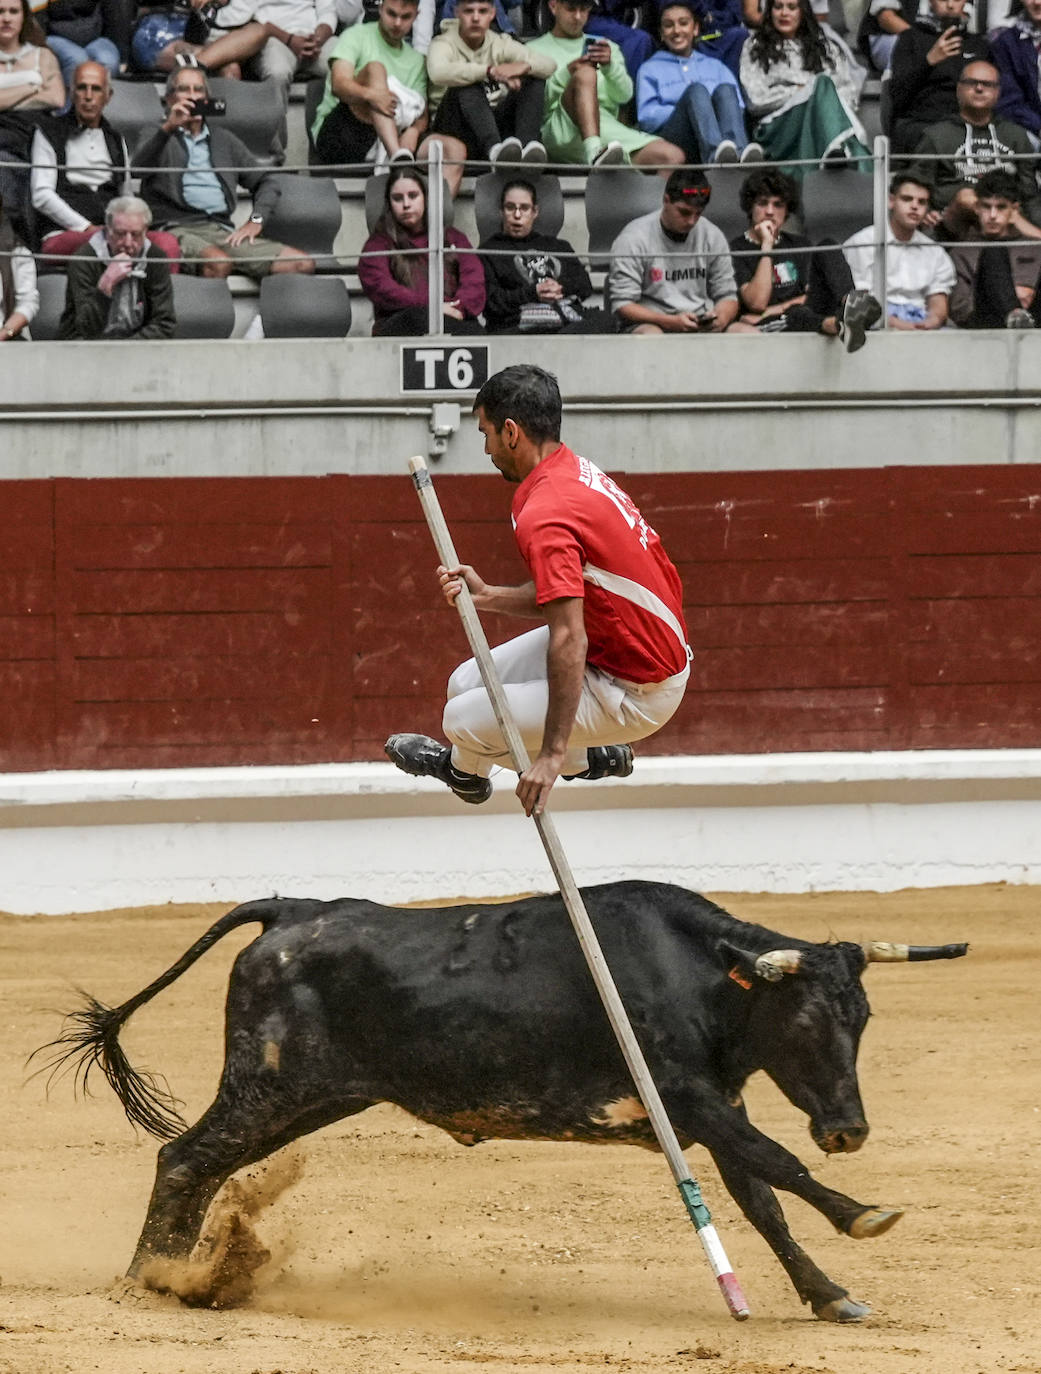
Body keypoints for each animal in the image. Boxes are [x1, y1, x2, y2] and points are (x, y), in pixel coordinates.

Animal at [38, 879, 972, 1319]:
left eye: (861, 1019)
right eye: (807, 1020)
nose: (847, 1131)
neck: (702, 976)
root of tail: (293, 909)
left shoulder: (712, 1113)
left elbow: (762, 1202)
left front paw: (831, 1296)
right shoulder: (690, 1101)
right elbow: (777, 1167)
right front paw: (864, 1214)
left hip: (309, 1096)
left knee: (197, 1167)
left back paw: (170, 1275)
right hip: (268, 1084)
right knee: (183, 1156)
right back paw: (148, 1282)